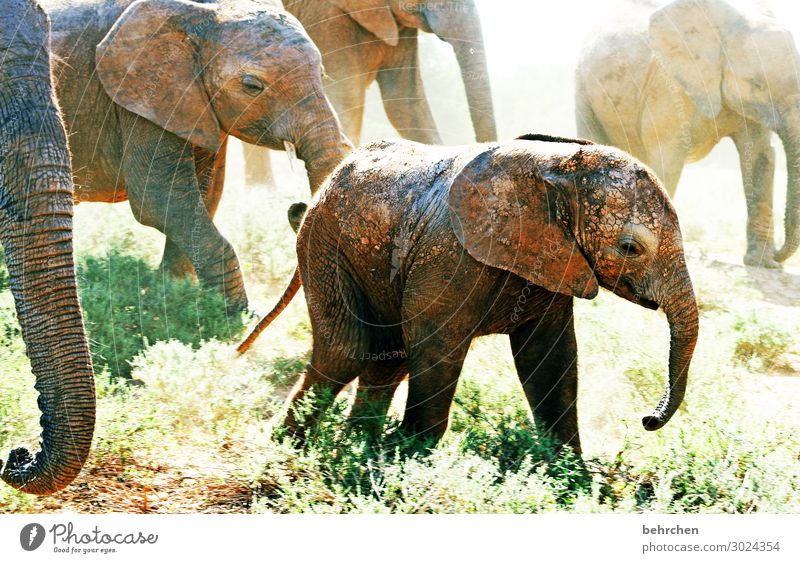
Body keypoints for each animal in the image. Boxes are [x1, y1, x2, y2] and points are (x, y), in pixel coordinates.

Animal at [43, 0, 350, 312]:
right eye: (252, 86)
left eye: (321, 73)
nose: (296, 208)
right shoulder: (143, 97)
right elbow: (160, 198)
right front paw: (237, 314)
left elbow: (205, 192)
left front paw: (174, 290)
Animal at [241, 135, 696, 454]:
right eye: (630, 248)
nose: (646, 420)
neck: (556, 166)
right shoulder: (451, 258)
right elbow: (438, 344)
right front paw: (410, 457)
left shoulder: (553, 264)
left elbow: (550, 357)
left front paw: (572, 477)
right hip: (324, 246)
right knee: (347, 351)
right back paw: (289, 447)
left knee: (387, 358)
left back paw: (357, 447)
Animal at [576, 0, 800, 270]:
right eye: (756, 83)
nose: (779, 255)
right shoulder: (667, 88)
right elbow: (668, 160)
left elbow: (760, 156)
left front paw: (763, 264)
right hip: (584, 88)